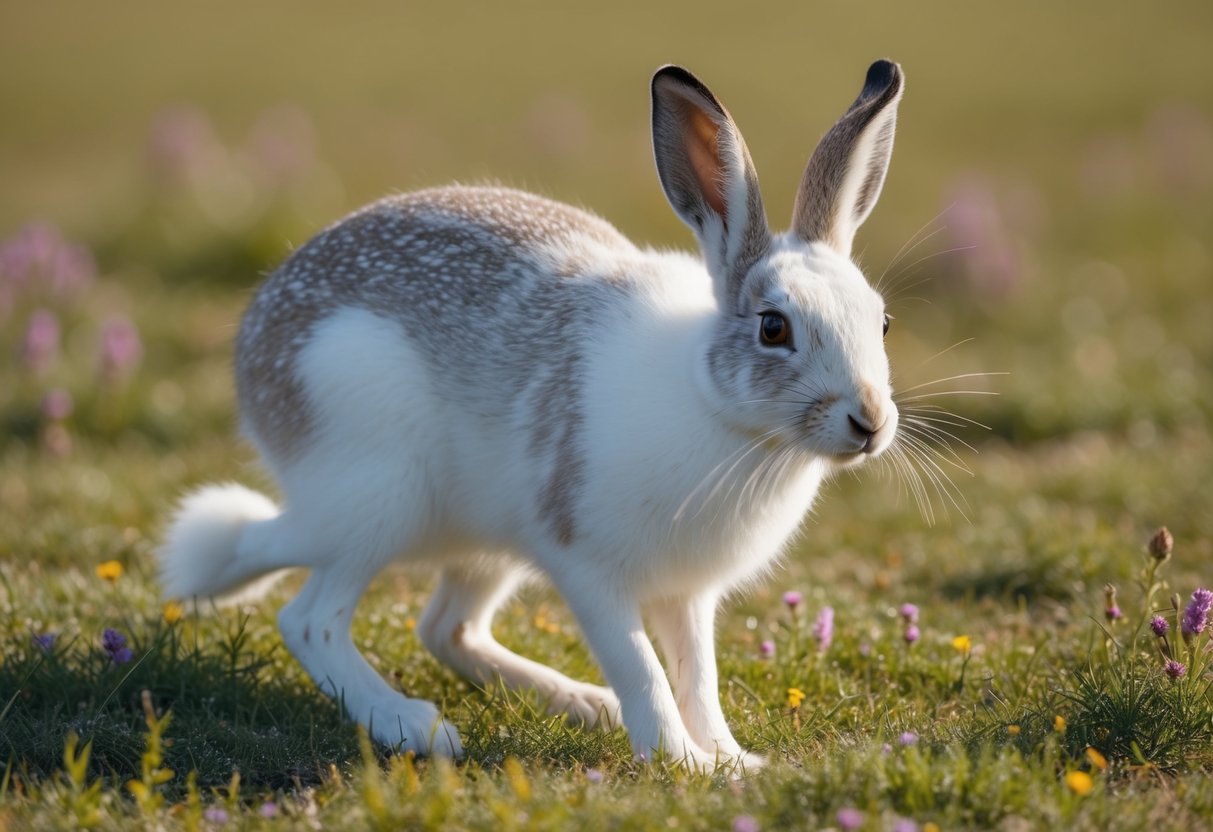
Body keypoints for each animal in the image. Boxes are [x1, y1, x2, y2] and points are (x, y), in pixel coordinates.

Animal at [160, 58, 905, 771]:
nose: (869, 422)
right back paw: (414, 726)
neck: (719, 409)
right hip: (374, 494)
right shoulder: (587, 566)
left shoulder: (687, 594)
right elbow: (645, 671)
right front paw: (681, 761)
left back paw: (583, 703)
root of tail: (253, 349)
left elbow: (698, 676)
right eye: (774, 328)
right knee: (307, 615)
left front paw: (730, 760)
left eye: (883, 322)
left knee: (444, 627)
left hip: (472, 539)